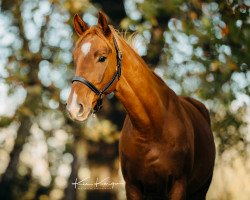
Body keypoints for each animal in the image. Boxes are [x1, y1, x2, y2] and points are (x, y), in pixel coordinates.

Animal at [66, 12, 215, 200]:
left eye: (102, 57)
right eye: (75, 58)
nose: (74, 107)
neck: (152, 128)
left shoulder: (178, 185)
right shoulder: (133, 186)